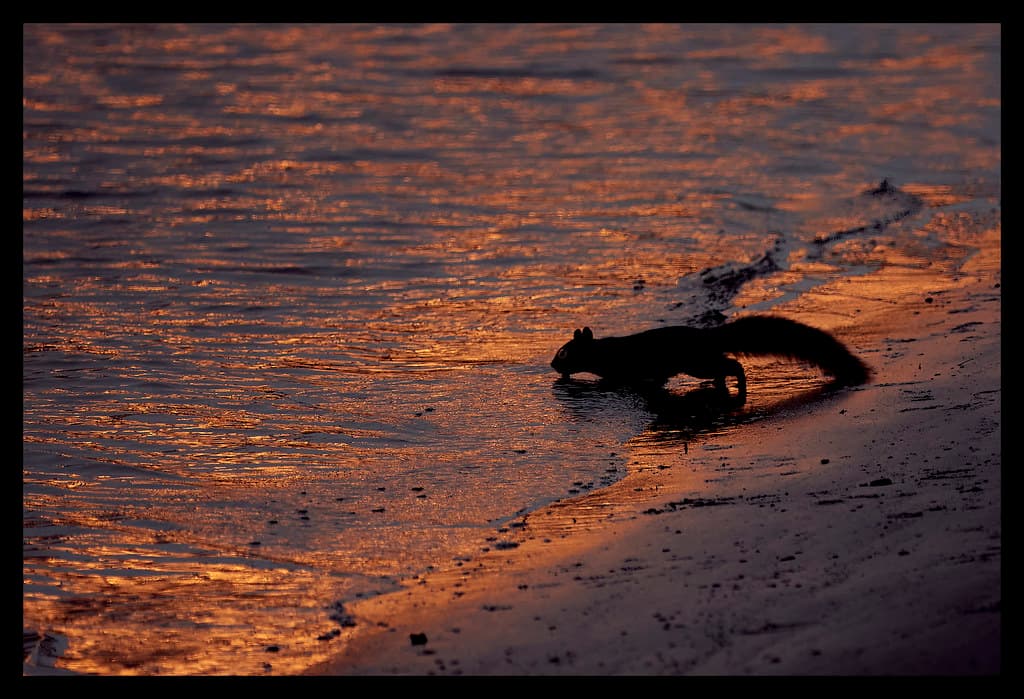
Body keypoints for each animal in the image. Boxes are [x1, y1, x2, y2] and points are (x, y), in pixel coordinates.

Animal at [550, 315, 870, 397]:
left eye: (564, 352)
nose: (552, 365)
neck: (603, 351)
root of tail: (708, 335)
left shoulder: (620, 370)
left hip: (697, 362)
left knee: (732, 364)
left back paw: (739, 384)